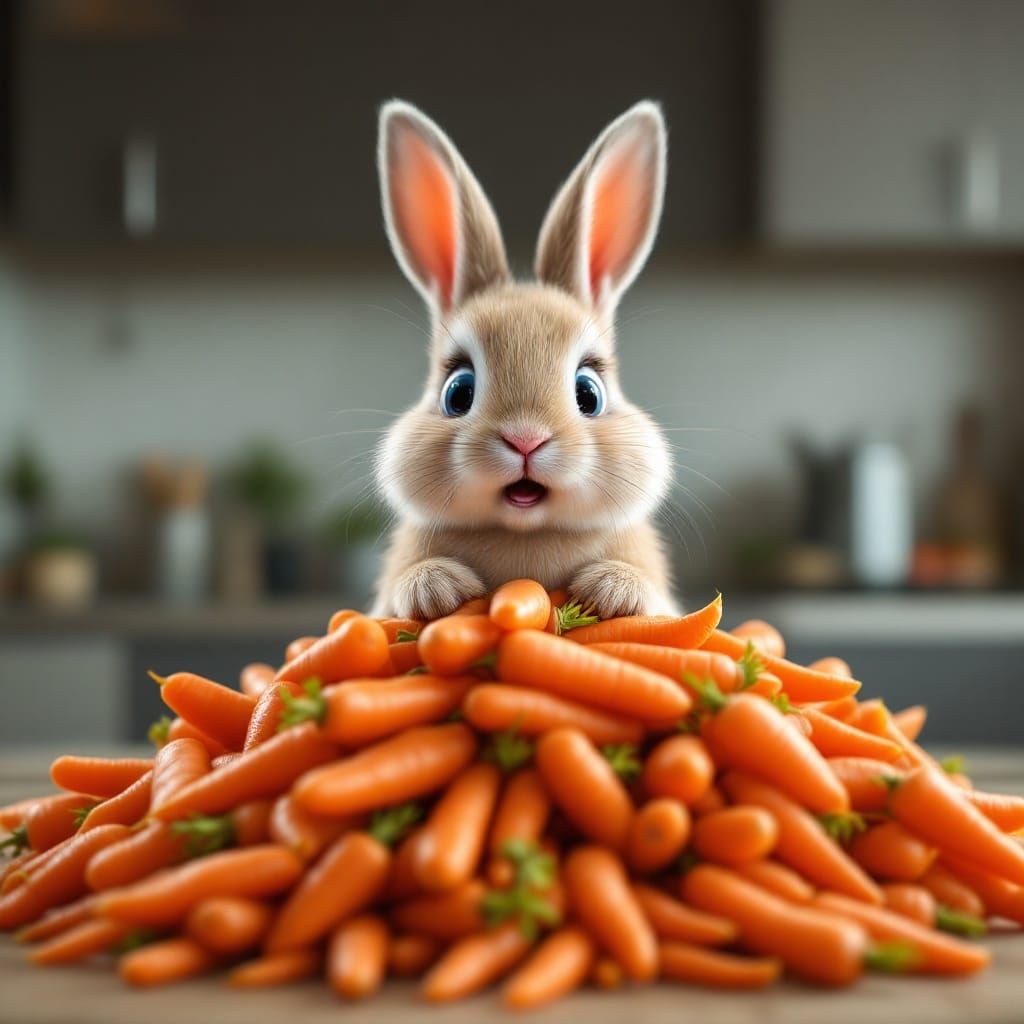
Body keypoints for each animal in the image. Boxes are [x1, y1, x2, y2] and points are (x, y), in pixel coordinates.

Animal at [370, 99, 679, 621]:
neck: (525, 531)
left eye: (588, 393)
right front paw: (435, 588)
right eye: (458, 392)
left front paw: (613, 591)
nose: (526, 440)